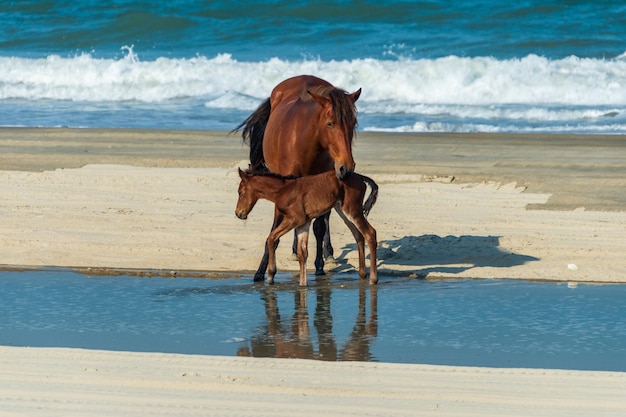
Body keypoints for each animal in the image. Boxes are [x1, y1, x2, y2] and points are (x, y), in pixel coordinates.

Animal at [234, 75, 360, 282]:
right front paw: (260, 271)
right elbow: (275, 229)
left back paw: (328, 254)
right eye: (330, 123)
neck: (306, 143)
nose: (346, 168)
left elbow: (319, 227)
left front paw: (319, 266)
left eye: (353, 123)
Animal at [236, 169, 378, 286]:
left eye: (240, 192)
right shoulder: (303, 223)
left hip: (352, 210)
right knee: (358, 235)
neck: (283, 191)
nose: (238, 213)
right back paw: (362, 274)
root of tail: (360, 177)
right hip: (342, 211)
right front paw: (302, 284)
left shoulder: (294, 219)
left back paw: (373, 279)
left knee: (370, 233)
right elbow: (302, 253)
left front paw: (271, 275)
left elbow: (271, 238)